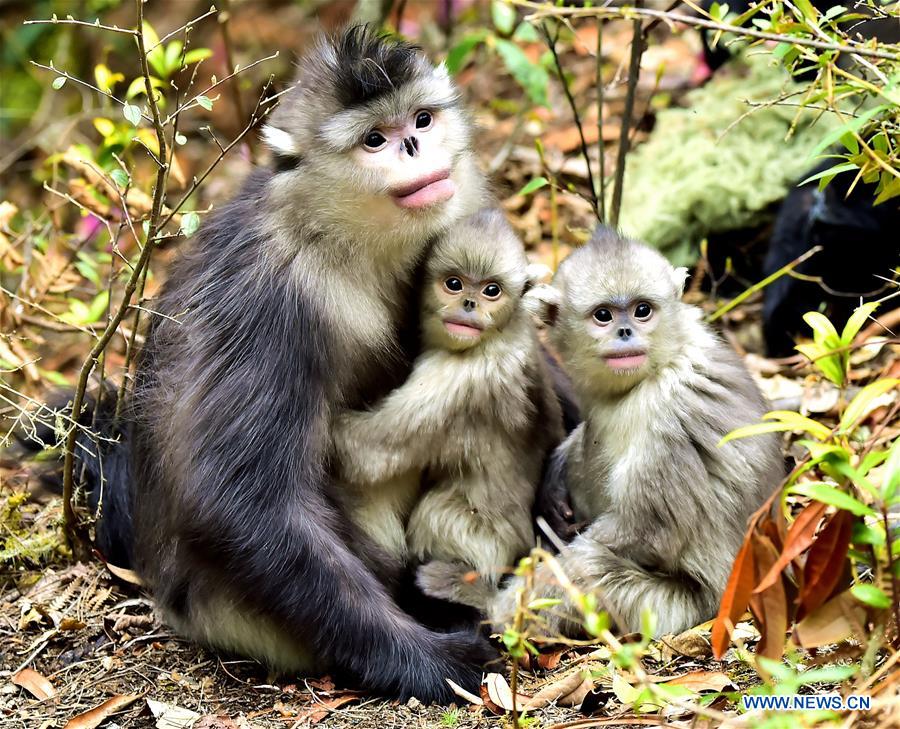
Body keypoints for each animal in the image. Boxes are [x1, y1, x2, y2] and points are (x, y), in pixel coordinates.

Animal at [330, 208, 564, 584]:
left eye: (492, 290)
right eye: (454, 284)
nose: (469, 303)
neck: (498, 336)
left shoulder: (450, 382)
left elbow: (365, 453)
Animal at [422, 229, 780, 636]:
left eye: (642, 311)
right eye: (604, 315)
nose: (625, 332)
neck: (660, 367)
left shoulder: (674, 412)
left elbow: (648, 534)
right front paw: (554, 476)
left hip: (670, 608)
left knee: (589, 565)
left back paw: (492, 607)